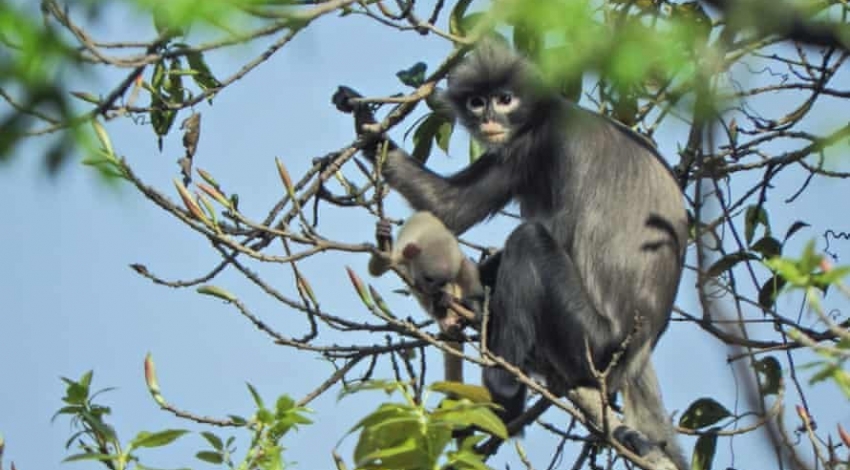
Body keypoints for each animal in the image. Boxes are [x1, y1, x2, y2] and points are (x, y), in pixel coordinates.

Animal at [334, 40, 684, 470]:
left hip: (591, 343)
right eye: (477, 101)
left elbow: (468, 213)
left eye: (505, 99)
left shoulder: (539, 145)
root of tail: (636, 351)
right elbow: (451, 207)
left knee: (529, 240)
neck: (549, 113)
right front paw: (364, 121)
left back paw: (502, 395)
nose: (488, 118)